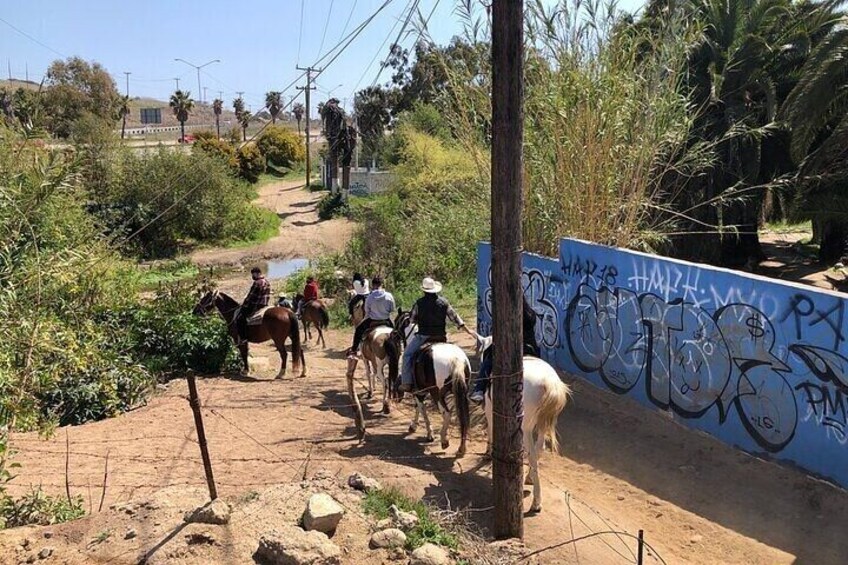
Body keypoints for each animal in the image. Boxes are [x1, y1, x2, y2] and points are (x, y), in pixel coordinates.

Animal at [476, 332, 568, 512]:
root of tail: (549, 382)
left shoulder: (490, 410)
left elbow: (490, 430)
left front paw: (488, 452)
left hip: (525, 428)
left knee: (532, 454)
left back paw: (536, 501)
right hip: (541, 422)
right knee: (539, 448)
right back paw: (530, 477)